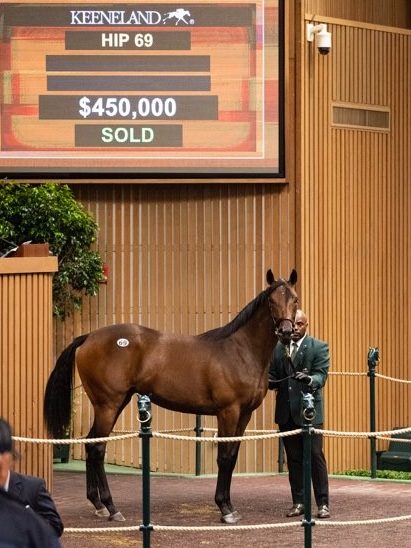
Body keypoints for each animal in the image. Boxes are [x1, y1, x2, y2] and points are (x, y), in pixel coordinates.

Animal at [43, 268, 298, 524]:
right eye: (271, 301)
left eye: (294, 299)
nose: (287, 332)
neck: (239, 351)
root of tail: (88, 338)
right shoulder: (228, 412)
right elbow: (224, 457)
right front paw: (225, 508)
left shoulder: (244, 414)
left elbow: (233, 456)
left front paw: (229, 506)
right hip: (108, 405)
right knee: (97, 448)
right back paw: (112, 508)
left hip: (113, 403)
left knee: (90, 443)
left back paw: (98, 504)